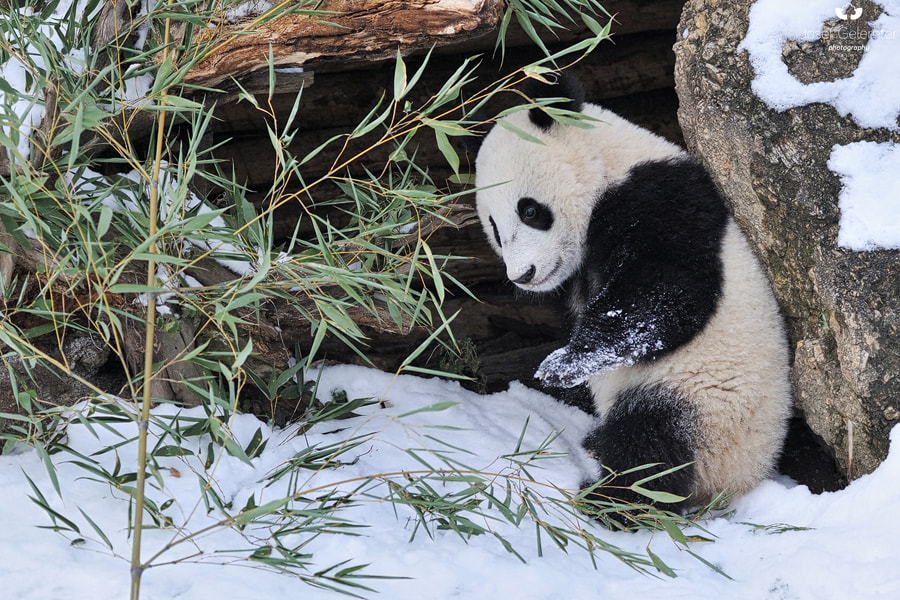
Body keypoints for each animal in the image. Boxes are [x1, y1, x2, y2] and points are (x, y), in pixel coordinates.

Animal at [471, 72, 792, 513]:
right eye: (494, 229)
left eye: (530, 210)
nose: (524, 275)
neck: (608, 164)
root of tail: (738, 482)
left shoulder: (658, 198)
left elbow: (664, 295)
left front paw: (564, 363)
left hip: (708, 402)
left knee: (650, 446)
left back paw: (608, 500)